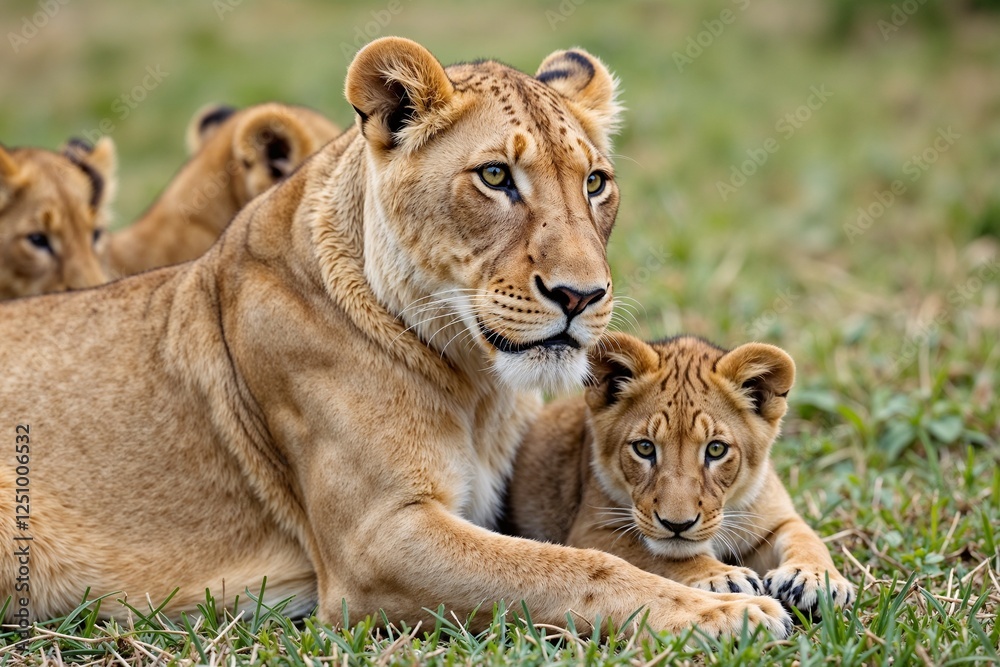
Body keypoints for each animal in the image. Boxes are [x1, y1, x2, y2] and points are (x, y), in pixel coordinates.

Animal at [507, 332, 856, 615]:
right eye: (644, 448)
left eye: (715, 450)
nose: (677, 525)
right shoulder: (592, 532)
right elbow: (659, 555)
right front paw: (723, 578)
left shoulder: (775, 516)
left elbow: (806, 536)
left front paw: (814, 579)